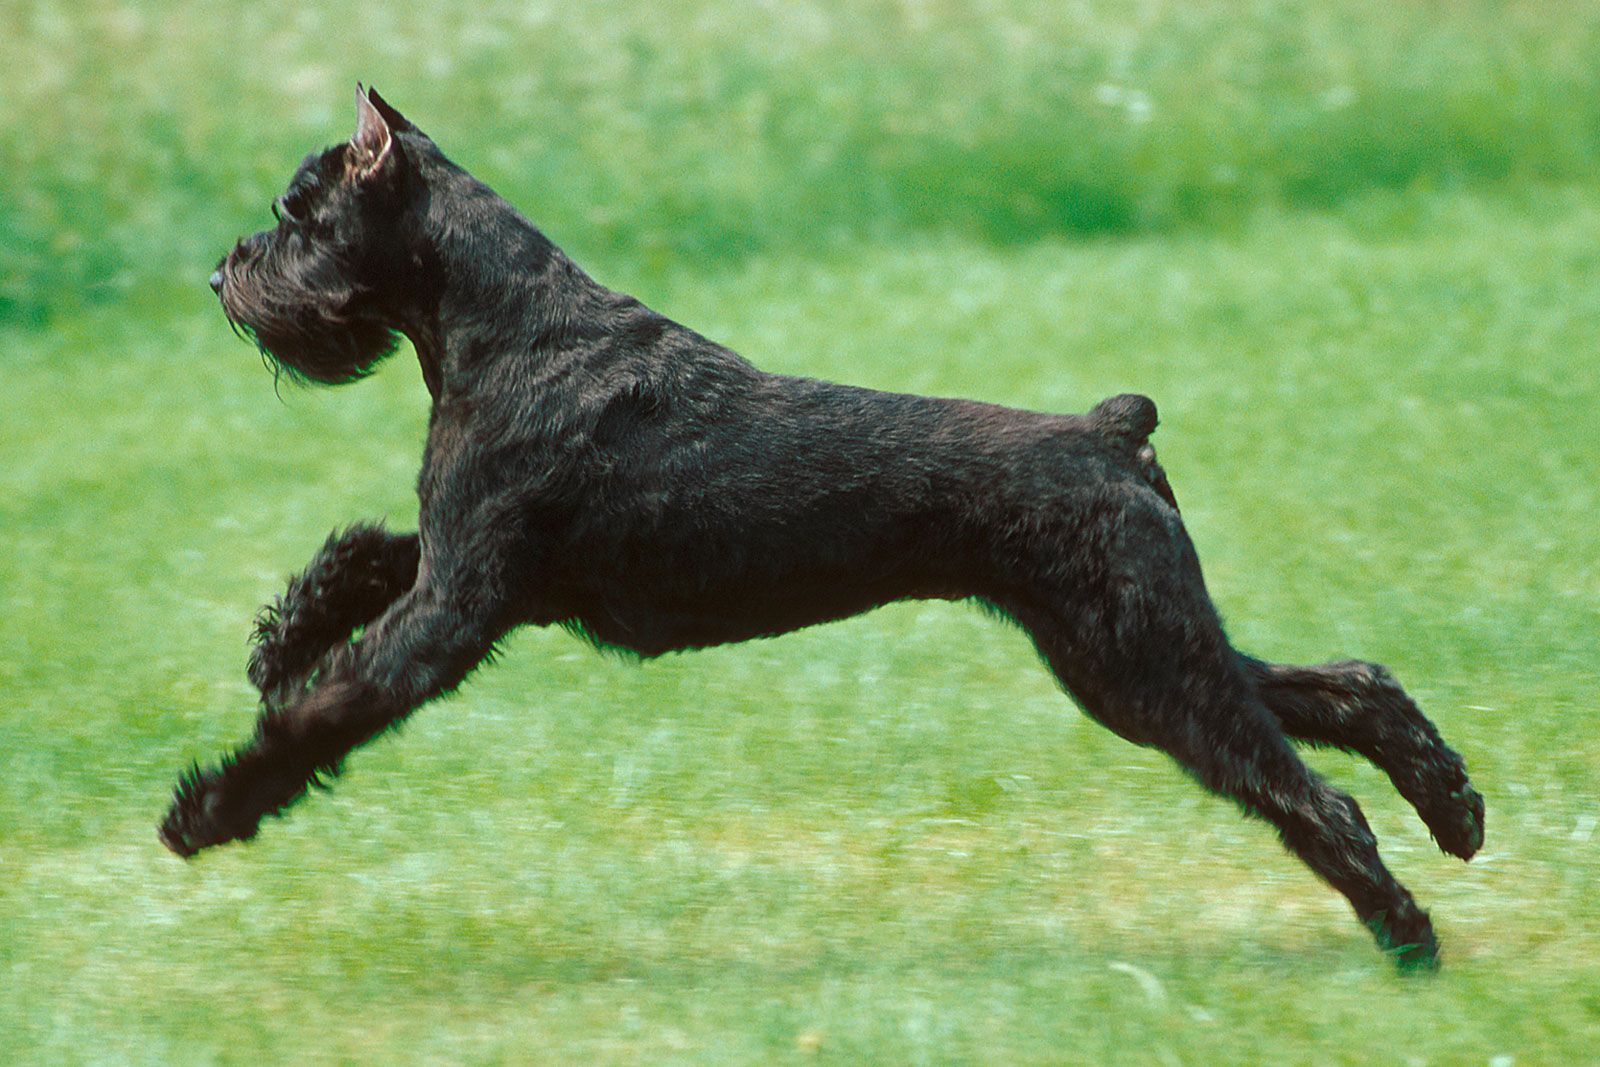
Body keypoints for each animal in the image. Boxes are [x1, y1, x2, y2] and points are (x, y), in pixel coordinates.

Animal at [162, 87, 1472, 966]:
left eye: (299, 213)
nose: (221, 275)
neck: (498, 318)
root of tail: (1111, 435)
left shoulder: (457, 606)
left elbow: (331, 707)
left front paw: (207, 806)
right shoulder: (465, 562)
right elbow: (362, 554)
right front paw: (279, 639)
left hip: (1140, 663)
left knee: (1309, 790)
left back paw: (1405, 932)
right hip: (1127, 644)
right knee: (1342, 684)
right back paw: (1454, 811)